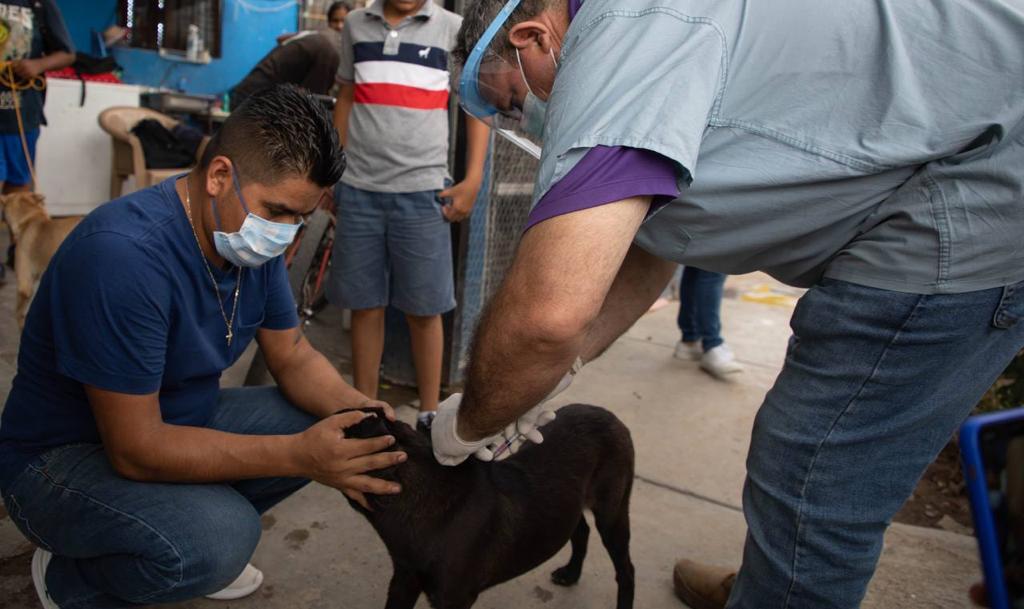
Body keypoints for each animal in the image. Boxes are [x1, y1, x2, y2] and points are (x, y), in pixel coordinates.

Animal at [344, 405, 630, 609]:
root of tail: (611, 417)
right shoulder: (404, 580)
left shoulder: (453, 598)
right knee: (580, 530)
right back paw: (571, 574)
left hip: (612, 514)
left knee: (625, 569)